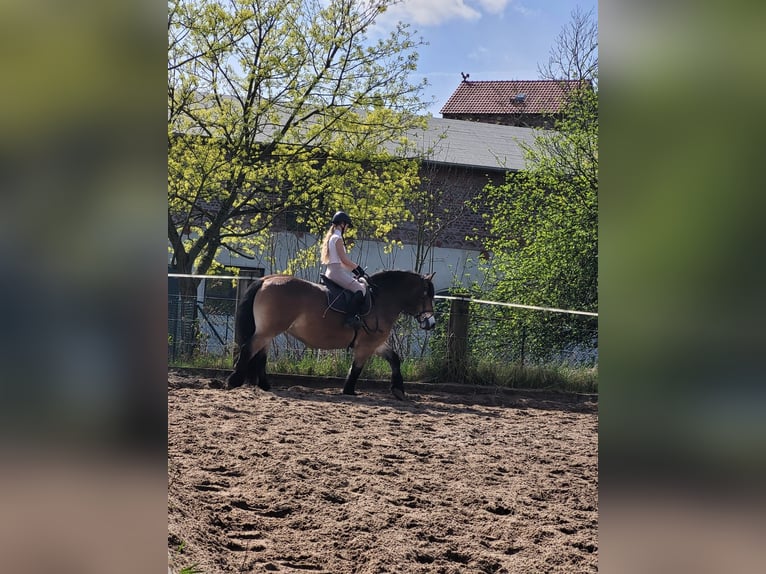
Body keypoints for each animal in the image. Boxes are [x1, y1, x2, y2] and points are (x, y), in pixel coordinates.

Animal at [225, 272, 436, 400]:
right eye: (425, 295)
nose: (431, 323)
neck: (381, 302)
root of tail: (266, 280)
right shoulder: (366, 346)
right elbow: (356, 369)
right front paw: (349, 390)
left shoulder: (376, 343)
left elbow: (394, 359)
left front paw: (398, 390)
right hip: (267, 330)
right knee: (248, 349)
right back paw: (234, 381)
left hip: (268, 331)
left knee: (260, 355)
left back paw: (265, 386)